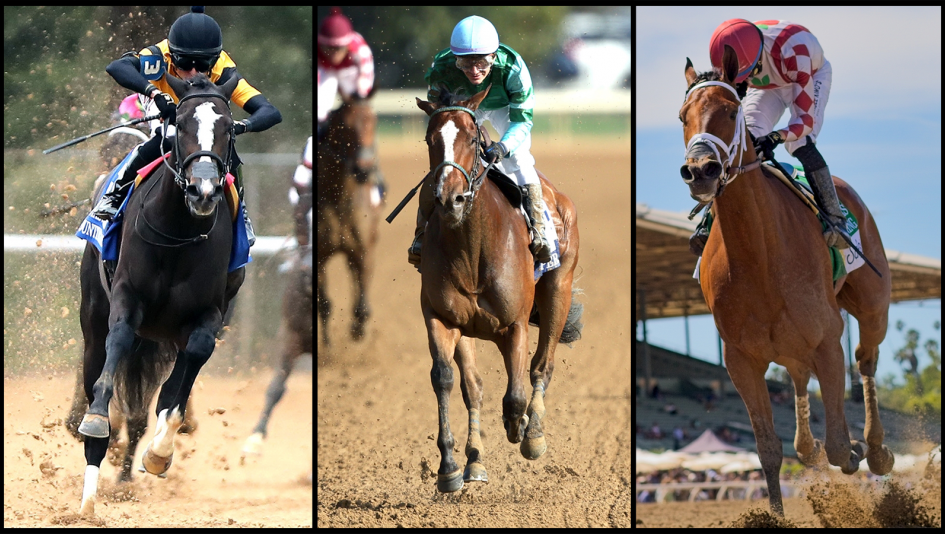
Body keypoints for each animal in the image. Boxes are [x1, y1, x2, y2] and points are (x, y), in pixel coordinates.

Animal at [76, 73, 245, 515]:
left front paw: (160, 451)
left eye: (228, 128)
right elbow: (117, 342)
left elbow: (181, 382)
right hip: (93, 315)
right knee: (96, 361)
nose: (204, 190)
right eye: (181, 124)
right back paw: (88, 495)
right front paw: (96, 419)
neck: (179, 234)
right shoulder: (127, 298)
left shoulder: (207, 315)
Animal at [316, 89, 382, 347]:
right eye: (345, 125)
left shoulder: (365, 250)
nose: (363, 169)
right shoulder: (320, 257)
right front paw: (327, 344)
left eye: (374, 121)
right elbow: (324, 304)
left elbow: (363, 307)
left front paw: (357, 332)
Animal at [415, 85, 583, 492]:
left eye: (473, 140)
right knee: (473, 386)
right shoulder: (441, 316)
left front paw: (520, 428)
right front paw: (449, 467)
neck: (473, 249)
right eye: (430, 139)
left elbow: (517, 393)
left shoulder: (516, 323)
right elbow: (445, 378)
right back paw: (475, 462)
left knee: (541, 368)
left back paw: (532, 434)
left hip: (558, 291)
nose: (450, 198)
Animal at [678, 46, 894, 515]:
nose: (700, 170)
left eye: (730, 111)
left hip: (874, 306)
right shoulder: (741, 360)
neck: (758, 256)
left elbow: (839, 445)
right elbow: (768, 450)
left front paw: (854, 450)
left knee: (866, 360)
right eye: (683, 115)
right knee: (798, 379)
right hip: (790, 346)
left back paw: (875, 448)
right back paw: (810, 445)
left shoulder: (828, 340)